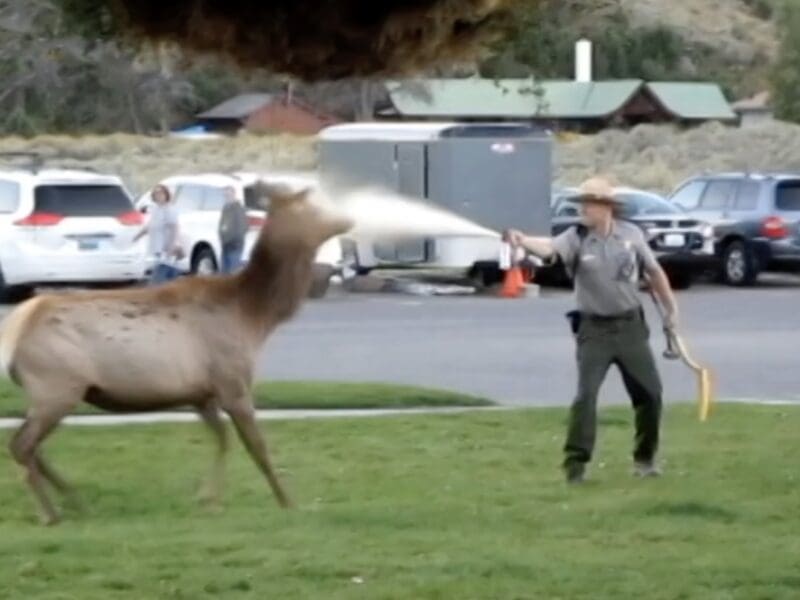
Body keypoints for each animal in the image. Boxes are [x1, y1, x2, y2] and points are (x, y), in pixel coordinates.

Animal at [0, 183, 352, 525]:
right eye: (313, 204)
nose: (347, 220)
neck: (255, 316)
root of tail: (14, 331)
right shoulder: (233, 381)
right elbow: (257, 447)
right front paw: (288, 502)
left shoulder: (201, 394)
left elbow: (223, 438)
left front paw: (208, 498)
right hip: (56, 386)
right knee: (22, 444)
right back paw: (50, 512)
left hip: (53, 393)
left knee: (32, 447)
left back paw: (76, 501)